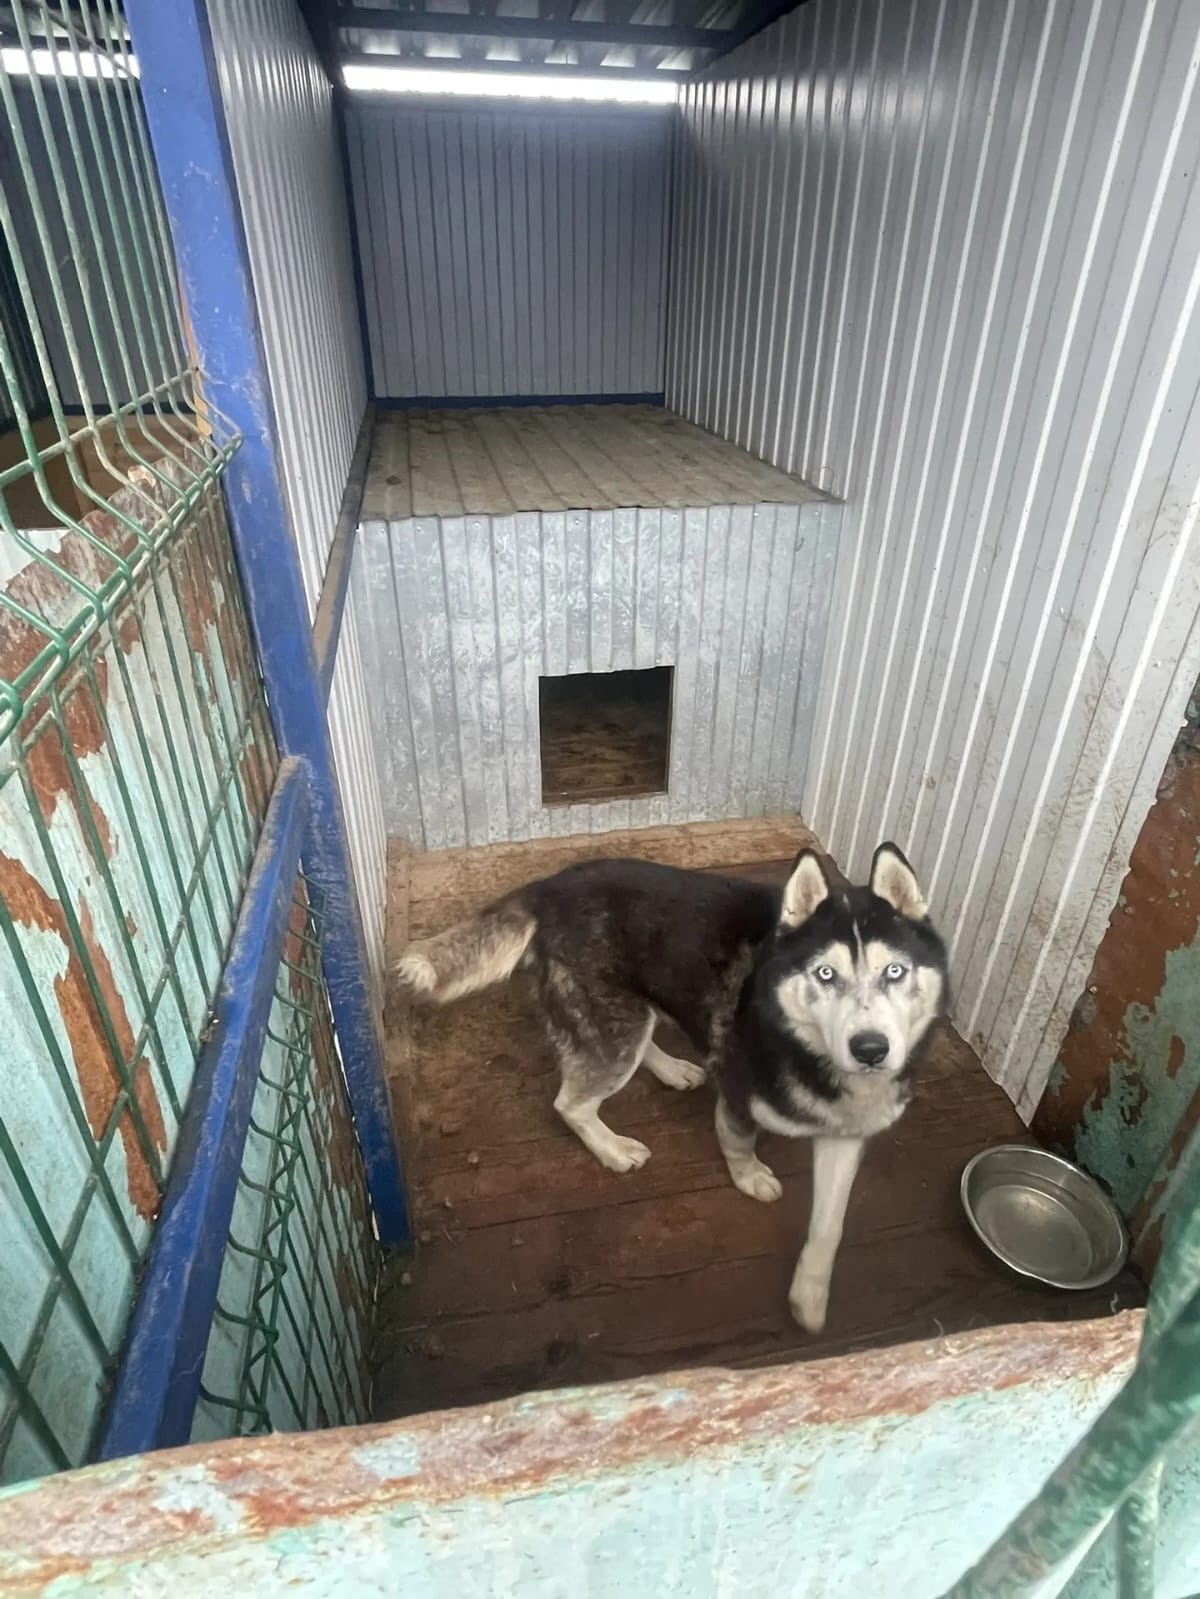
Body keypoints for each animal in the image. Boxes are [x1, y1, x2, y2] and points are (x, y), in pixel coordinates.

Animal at [395, 842, 948, 1333]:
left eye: (894, 971)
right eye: (825, 974)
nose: (871, 1048)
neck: (806, 1049)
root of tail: (548, 887)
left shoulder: (845, 1135)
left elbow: (829, 1225)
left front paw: (809, 1297)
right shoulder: (738, 1094)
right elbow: (739, 1143)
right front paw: (748, 1177)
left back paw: (672, 1069)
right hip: (615, 1031)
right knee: (571, 1102)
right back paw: (613, 1148)